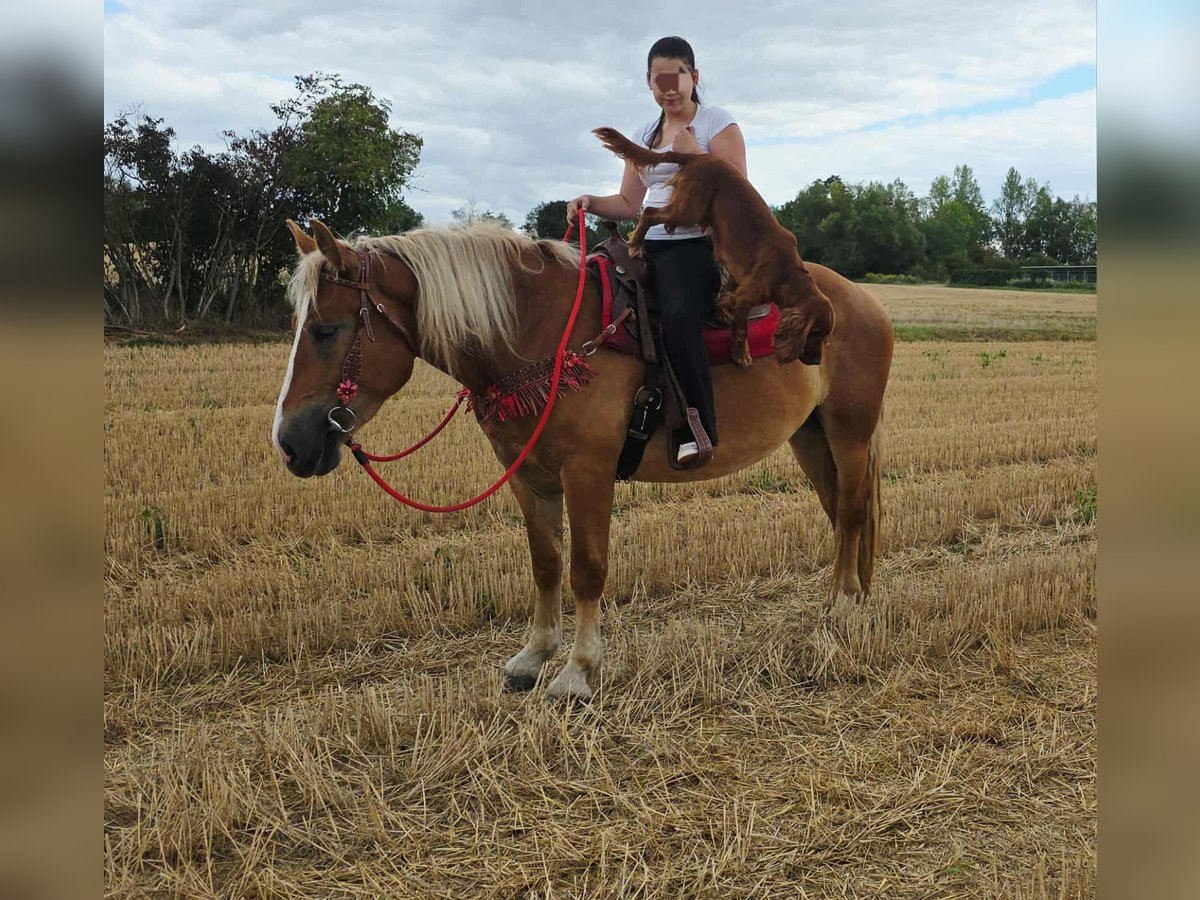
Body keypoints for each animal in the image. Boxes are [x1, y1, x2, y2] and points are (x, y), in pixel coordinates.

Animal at [273, 219, 893, 702]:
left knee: (853, 509)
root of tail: (863, 301)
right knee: (840, 513)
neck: (538, 333)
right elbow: (546, 563)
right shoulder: (528, 476)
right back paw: (844, 598)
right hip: (810, 436)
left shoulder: (587, 471)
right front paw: (533, 656)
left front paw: (578, 672)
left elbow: (587, 568)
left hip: (849, 432)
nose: (289, 443)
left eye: (326, 330)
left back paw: (844, 608)